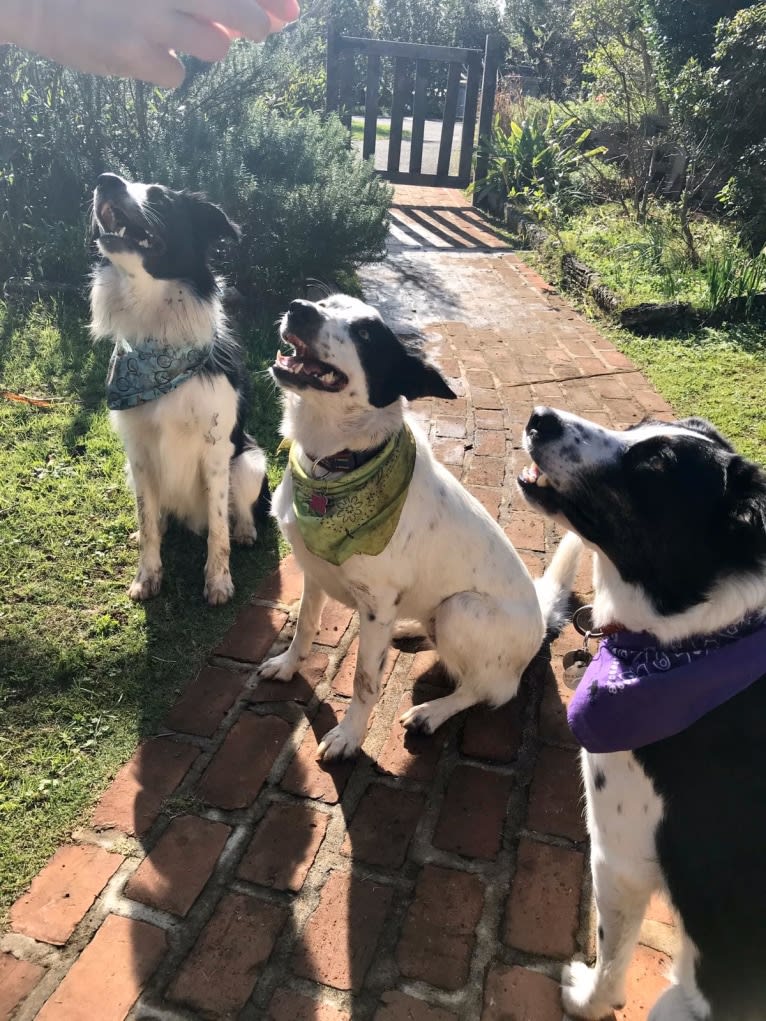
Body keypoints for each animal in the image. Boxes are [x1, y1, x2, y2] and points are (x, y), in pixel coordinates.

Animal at [90, 175, 267, 604]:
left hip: (251, 461)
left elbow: (218, 530)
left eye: (161, 199)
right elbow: (147, 522)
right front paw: (147, 575)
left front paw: (218, 582)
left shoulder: (217, 453)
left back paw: (245, 530)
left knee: (240, 511)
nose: (105, 180)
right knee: (157, 515)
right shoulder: (137, 453)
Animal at [258, 296, 580, 759]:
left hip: (461, 609)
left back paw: (433, 711)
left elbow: (364, 681)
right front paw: (287, 667)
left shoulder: (376, 605)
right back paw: (409, 627)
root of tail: (540, 617)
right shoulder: (313, 573)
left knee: (491, 690)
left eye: (365, 334)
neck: (335, 465)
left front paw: (349, 736)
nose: (300, 308)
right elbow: (303, 628)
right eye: (324, 302)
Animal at [518, 406, 763, 1021]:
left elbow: (611, 958)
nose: (540, 418)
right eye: (638, 427)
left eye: (652, 468)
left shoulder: (618, 857)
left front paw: (586, 998)